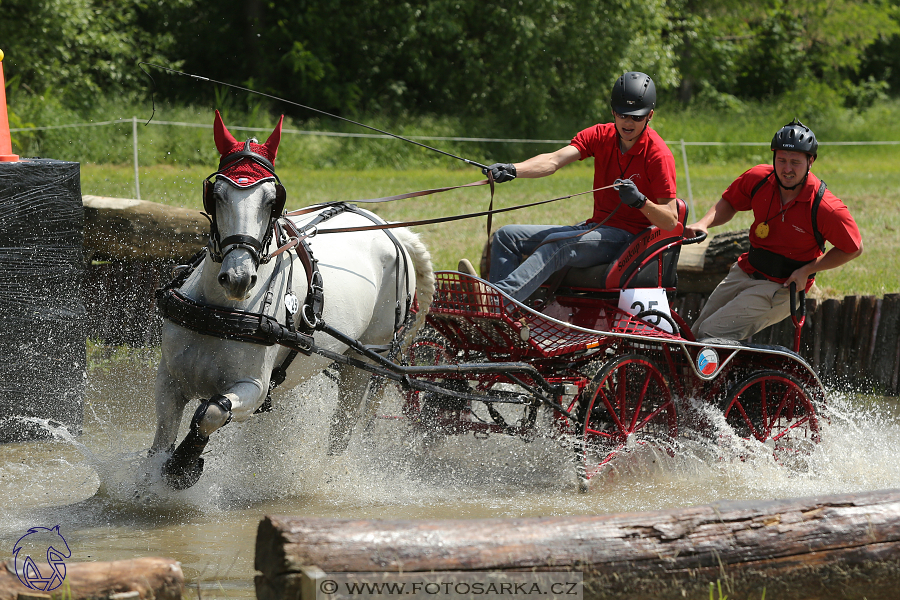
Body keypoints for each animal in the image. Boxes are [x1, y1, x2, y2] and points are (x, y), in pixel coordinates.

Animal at [149, 111, 434, 488]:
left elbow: (209, 412)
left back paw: (330, 475)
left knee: (343, 428)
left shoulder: (252, 388)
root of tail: (390, 228)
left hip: (367, 358)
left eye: (273, 199)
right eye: (217, 194)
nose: (239, 278)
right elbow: (161, 438)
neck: (220, 309)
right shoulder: (169, 380)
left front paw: (182, 466)